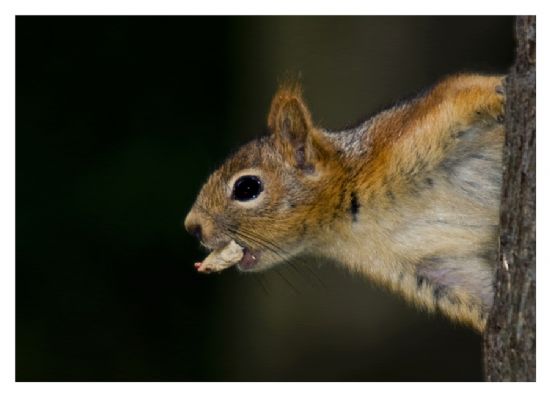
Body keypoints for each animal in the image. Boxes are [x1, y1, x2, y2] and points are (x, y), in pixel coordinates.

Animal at [183, 73, 506, 332]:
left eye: (247, 187)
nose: (192, 227)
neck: (354, 222)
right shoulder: (431, 269)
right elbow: (475, 290)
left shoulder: (412, 130)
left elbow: (467, 90)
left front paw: (501, 92)